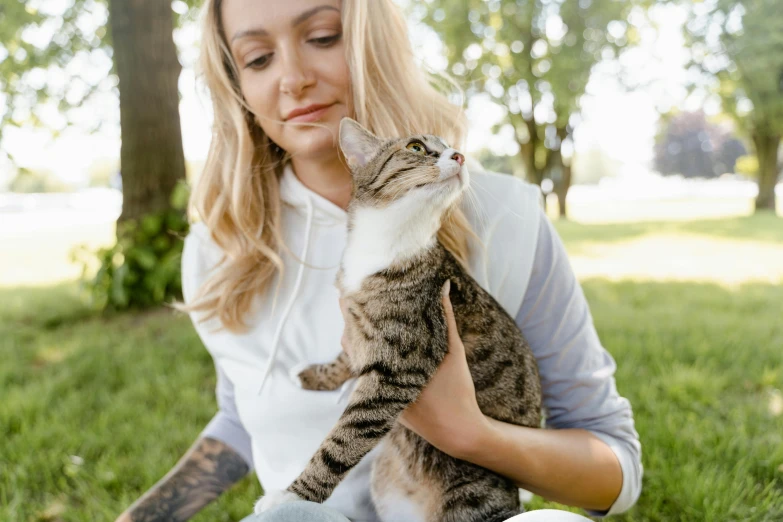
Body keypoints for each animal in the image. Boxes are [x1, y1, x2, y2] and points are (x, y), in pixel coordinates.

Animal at [254, 119, 544, 520]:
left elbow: (343, 439)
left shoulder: (398, 370)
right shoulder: (358, 326)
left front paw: (292, 496)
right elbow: (345, 357)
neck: (387, 242)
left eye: (451, 147)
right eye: (417, 148)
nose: (459, 155)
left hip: (472, 494)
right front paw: (313, 374)